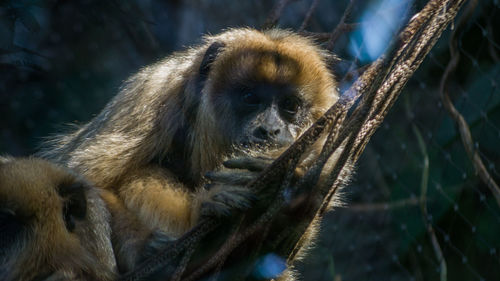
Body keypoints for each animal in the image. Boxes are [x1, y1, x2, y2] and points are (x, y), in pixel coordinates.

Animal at [41, 29, 340, 276]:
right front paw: (143, 246)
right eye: (250, 98)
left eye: (291, 105)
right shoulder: (153, 94)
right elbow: (78, 180)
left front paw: (289, 175)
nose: (270, 130)